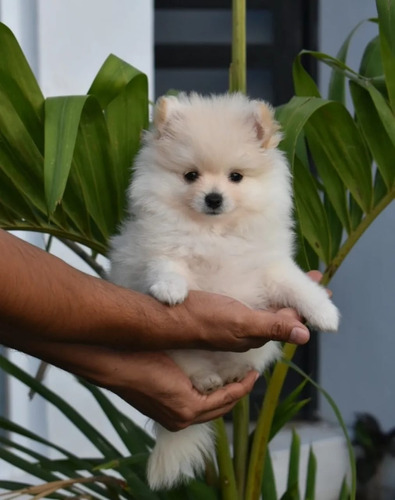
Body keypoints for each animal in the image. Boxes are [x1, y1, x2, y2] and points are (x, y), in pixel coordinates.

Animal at [109, 92, 340, 490]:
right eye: (191, 175)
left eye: (236, 177)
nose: (214, 198)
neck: (215, 231)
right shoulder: (154, 252)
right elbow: (167, 265)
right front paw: (171, 289)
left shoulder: (269, 267)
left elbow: (297, 284)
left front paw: (323, 312)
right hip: (171, 348)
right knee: (187, 364)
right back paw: (206, 378)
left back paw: (230, 374)